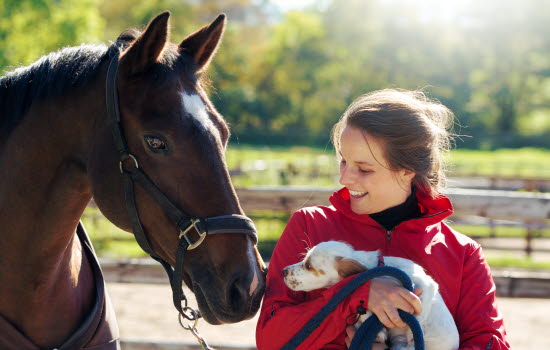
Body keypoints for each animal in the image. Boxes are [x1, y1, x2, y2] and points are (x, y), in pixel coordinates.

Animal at [284, 241, 462, 350]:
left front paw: (413, 334)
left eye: (308, 266)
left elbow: (420, 312)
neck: (379, 268)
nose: (283, 271)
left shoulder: (427, 283)